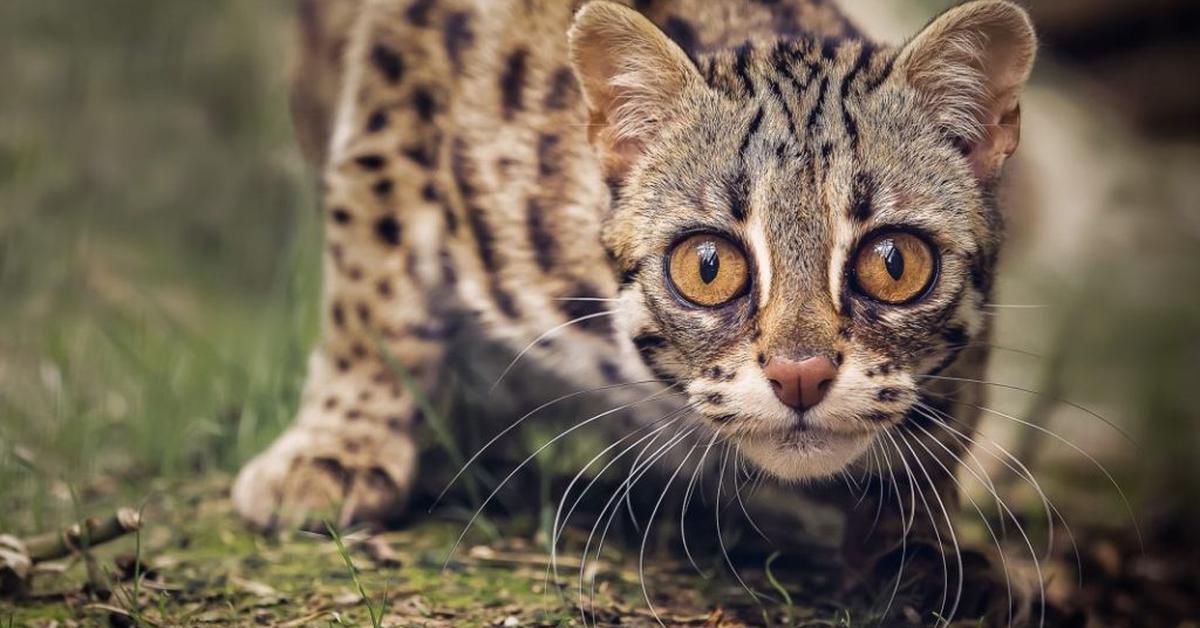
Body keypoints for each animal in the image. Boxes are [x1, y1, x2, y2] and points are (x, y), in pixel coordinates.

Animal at [236, 0, 1041, 619]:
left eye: (894, 263)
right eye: (708, 266)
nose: (801, 376)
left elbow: (947, 415)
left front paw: (917, 540)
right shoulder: (402, 72)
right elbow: (376, 284)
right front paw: (336, 448)